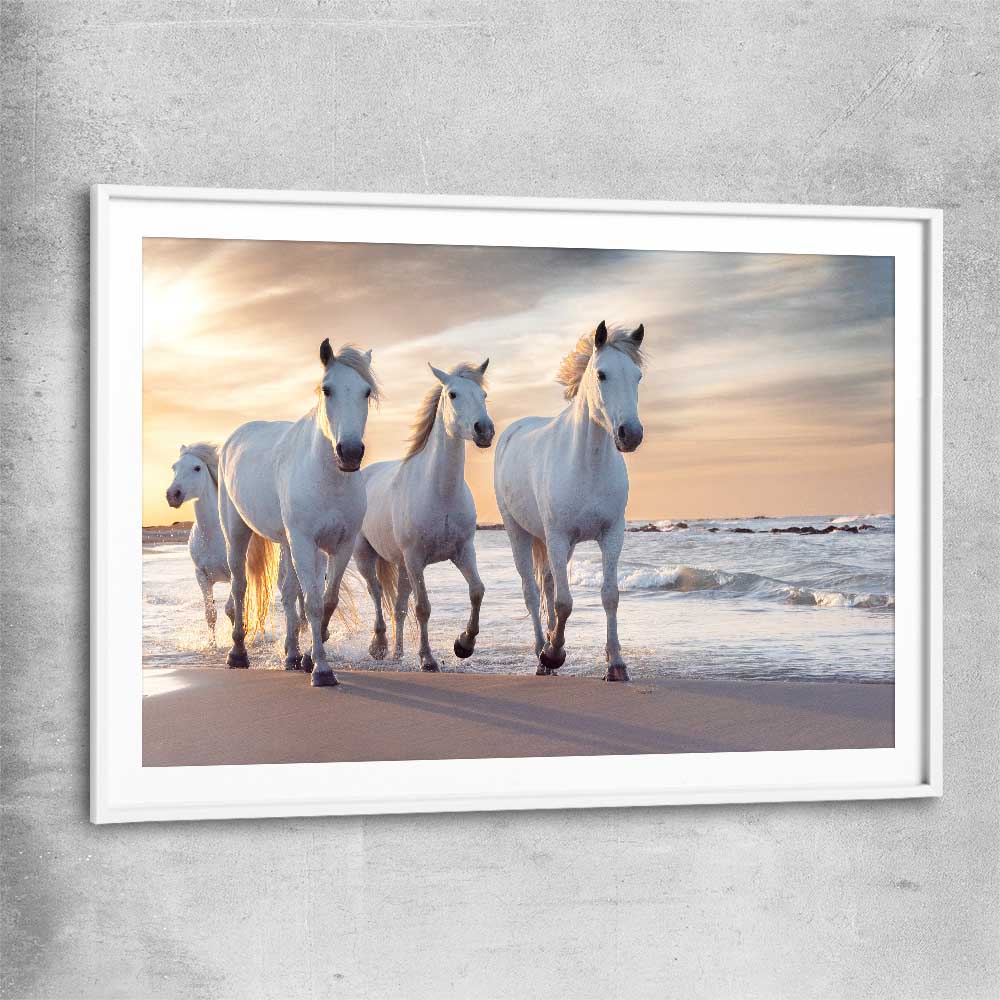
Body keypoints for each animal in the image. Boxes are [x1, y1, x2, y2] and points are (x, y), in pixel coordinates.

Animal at [217, 339, 378, 687]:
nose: (349, 453)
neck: (327, 478)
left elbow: (325, 600)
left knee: (289, 592)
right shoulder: (305, 542)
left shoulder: (340, 545)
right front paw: (322, 669)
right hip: (236, 532)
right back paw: (237, 653)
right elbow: (314, 603)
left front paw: (308, 657)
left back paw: (291, 655)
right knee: (239, 586)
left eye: (366, 392)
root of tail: (234, 438)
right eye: (327, 390)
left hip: (286, 543)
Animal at [353, 359, 494, 672]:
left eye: (483, 395)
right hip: (366, 556)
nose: (484, 430)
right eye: (453, 394)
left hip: (402, 566)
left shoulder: (463, 551)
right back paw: (379, 646)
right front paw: (428, 659)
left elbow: (477, 590)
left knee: (398, 607)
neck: (440, 492)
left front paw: (464, 644)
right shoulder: (416, 558)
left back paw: (396, 654)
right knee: (376, 593)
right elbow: (423, 608)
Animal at [493, 320, 646, 681]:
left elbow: (609, 596)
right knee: (532, 592)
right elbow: (564, 602)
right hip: (519, 533)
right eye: (602, 374)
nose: (630, 434)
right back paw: (541, 653)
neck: (587, 465)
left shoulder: (611, 535)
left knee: (547, 584)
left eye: (637, 376)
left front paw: (616, 664)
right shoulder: (559, 537)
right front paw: (554, 654)